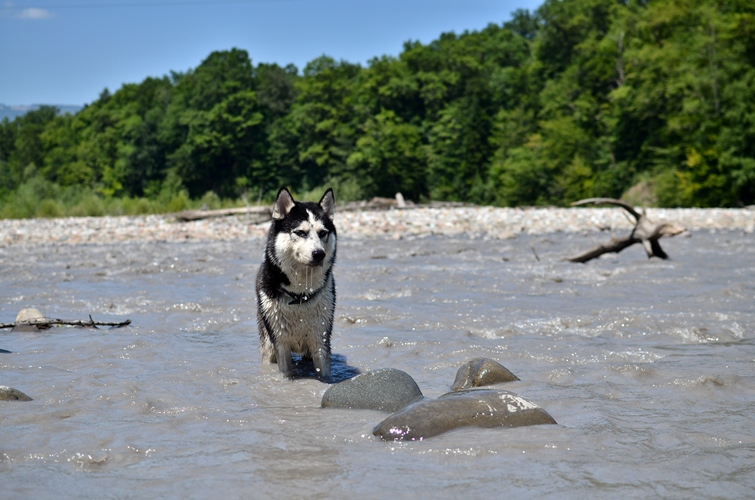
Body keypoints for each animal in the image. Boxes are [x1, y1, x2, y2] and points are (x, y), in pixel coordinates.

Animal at [255, 188, 336, 378]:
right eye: (300, 232)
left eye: (323, 233)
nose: (319, 254)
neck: (299, 295)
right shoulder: (280, 343)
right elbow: (286, 372)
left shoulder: (321, 340)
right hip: (268, 343)